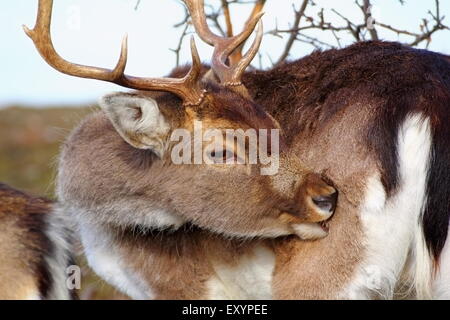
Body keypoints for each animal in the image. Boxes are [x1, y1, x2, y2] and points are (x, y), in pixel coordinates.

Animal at [23, 0, 450, 300]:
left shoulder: (181, 283)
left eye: (272, 123)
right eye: (221, 151)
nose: (326, 196)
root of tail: (428, 101)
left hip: (328, 272)